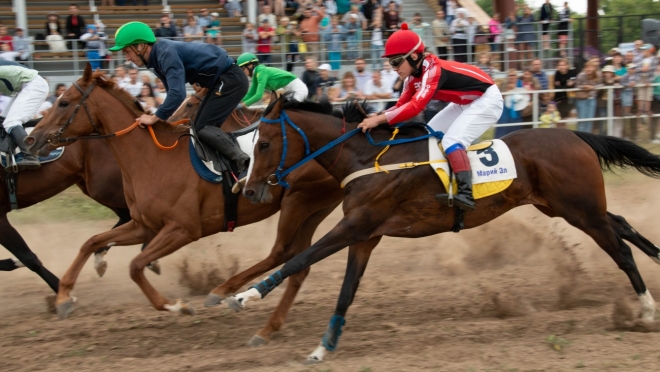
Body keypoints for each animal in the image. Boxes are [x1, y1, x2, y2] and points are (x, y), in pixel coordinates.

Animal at [24, 65, 356, 348]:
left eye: (63, 102)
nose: (31, 139)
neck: (149, 157)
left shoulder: (183, 230)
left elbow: (135, 265)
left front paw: (176, 305)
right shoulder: (144, 226)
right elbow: (91, 242)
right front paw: (64, 297)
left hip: (299, 201)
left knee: (283, 252)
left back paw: (224, 292)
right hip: (315, 207)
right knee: (298, 262)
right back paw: (260, 319)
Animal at [231, 94, 660, 362]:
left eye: (264, 143)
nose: (248, 189)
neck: (367, 158)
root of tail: (574, 134)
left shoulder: (355, 225)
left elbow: (300, 258)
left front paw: (244, 296)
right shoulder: (366, 236)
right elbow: (345, 292)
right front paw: (322, 349)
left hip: (580, 210)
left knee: (621, 250)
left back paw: (646, 310)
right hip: (566, 207)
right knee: (622, 225)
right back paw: (656, 263)